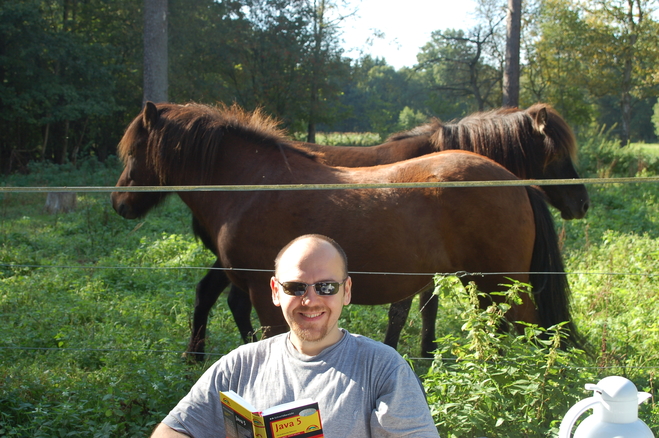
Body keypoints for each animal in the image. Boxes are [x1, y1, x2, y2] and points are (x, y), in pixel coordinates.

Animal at [113, 102, 584, 360]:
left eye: (134, 151)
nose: (120, 202)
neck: (250, 185)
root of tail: (515, 181)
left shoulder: (267, 299)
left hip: (501, 284)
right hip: (485, 284)